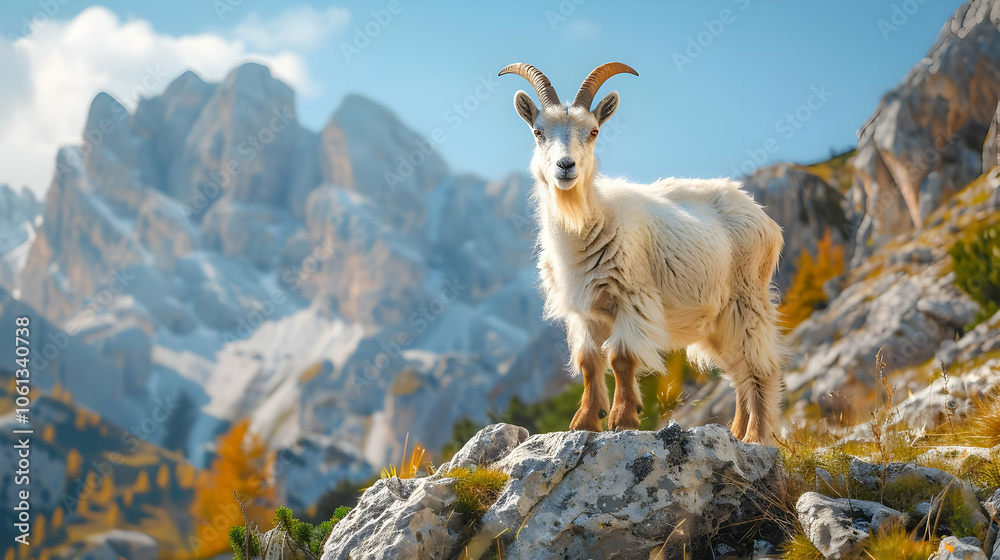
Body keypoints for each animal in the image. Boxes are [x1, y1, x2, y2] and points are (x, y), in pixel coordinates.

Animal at [499, 62, 787, 444]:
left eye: (593, 131)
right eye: (538, 131)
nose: (565, 166)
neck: (590, 223)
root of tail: (761, 214)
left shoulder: (632, 298)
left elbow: (621, 359)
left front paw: (623, 419)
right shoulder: (584, 312)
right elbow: (589, 362)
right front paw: (585, 422)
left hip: (747, 300)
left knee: (760, 367)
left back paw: (756, 436)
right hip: (716, 319)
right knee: (738, 369)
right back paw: (737, 432)